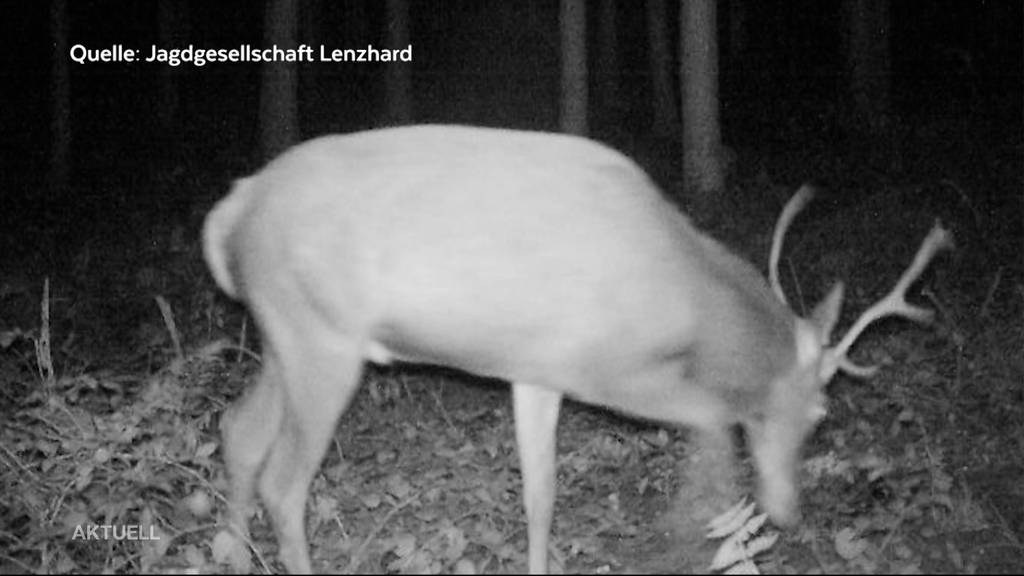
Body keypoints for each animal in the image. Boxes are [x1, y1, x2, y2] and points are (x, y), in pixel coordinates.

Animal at [203, 123, 954, 569]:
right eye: (821, 414)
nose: (791, 513)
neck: (685, 296)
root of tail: (232, 210)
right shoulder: (604, 367)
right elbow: (712, 419)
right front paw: (701, 529)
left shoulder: (537, 371)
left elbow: (540, 494)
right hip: (321, 341)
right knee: (283, 481)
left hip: (284, 334)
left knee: (237, 431)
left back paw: (233, 556)